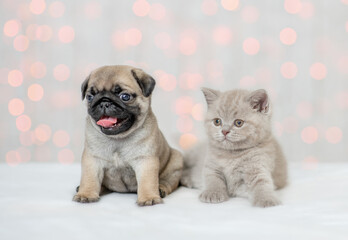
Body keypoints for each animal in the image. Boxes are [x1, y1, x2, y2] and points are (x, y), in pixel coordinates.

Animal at [72, 65, 184, 206]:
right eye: (90, 97)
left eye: (125, 96)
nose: (104, 102)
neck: (118, 138)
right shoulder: (92, 160)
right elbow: (89, 179)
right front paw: (86, 194)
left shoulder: (145, 161)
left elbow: (147, 182)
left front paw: (148, 198)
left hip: (176, 163)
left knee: (168, 182)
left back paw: (160, 189)